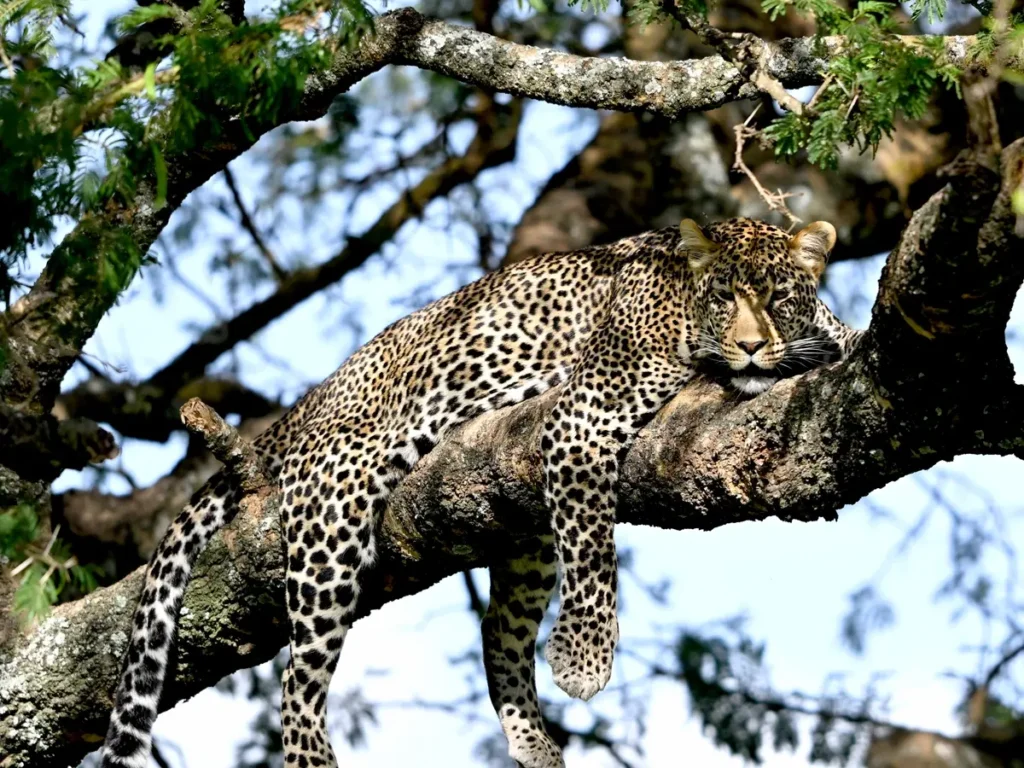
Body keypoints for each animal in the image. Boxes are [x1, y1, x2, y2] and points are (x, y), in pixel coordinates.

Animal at [99, 217, 862, 768]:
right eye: (725, 296)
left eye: (778, 297)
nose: (752, 348)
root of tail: (307, 403)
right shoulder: (585, 415)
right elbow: (594, 550)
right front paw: (586, 659)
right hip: (336, 501)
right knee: (299, 679)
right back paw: (312, 754)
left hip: (518, 532)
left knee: (497, 628)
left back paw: (533, 743)